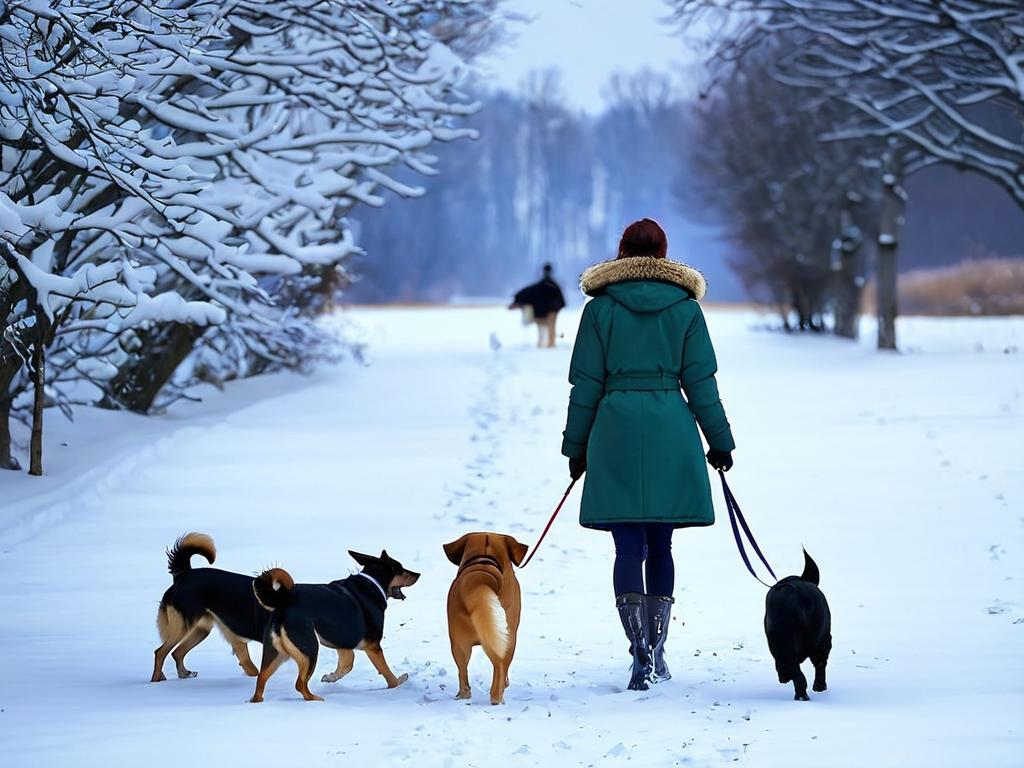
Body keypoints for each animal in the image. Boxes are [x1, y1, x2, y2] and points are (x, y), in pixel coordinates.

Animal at [150, 536, 266, 684]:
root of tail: (184, 575)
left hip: (201, 630)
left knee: (177, 652)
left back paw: (184, 674)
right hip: (183, 626)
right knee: (160, 653)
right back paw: (155, 683)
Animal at [249, 552, 417, 704]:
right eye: (400, 569)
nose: (418, 574)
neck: (372, 583)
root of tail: (284, 603)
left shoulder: (343, 643)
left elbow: (347, 664)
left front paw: (330, 677)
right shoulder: (373, 646)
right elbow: (387, 674)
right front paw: (399, 681)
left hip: (276, 653)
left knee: (261, 678)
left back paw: (256, 701)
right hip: (309, 650)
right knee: (299, 684)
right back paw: (314, 699)